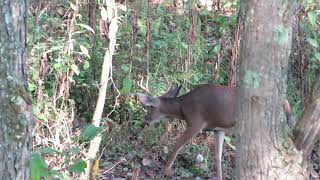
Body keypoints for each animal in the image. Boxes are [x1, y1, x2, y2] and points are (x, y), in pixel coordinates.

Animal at [135, 83, 292, 179]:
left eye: (150, 107)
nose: (145, 120)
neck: (183, 108)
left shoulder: (196, 123)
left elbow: (177, 145)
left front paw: (166, 171)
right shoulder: (218, 129)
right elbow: (218, 157)